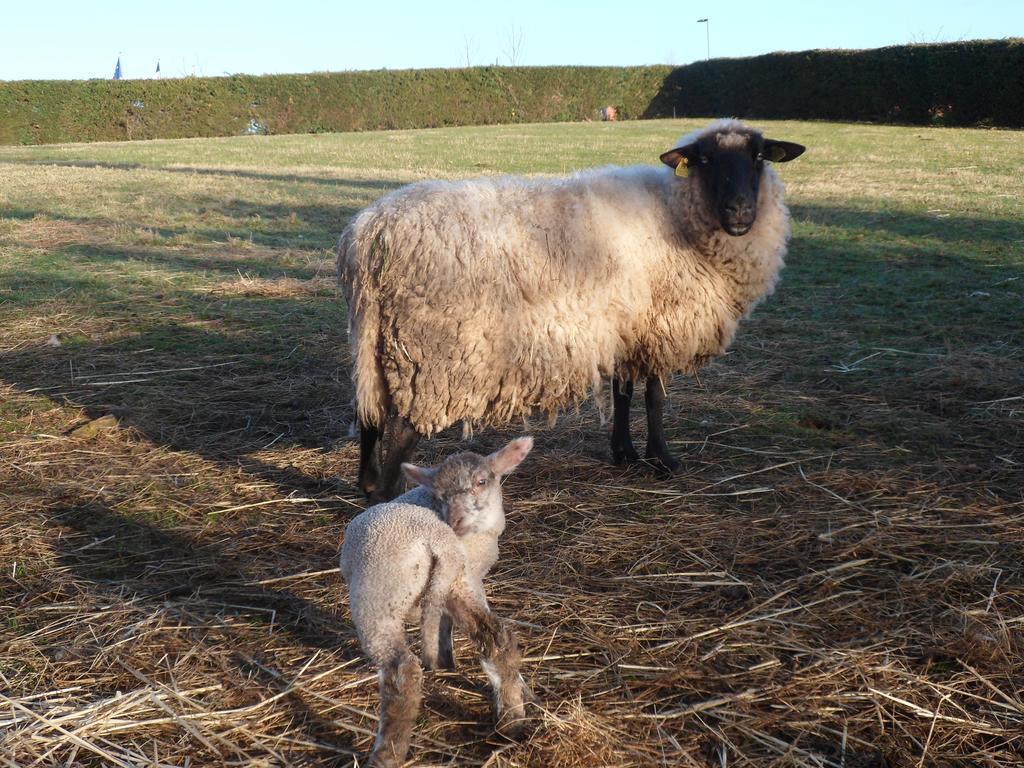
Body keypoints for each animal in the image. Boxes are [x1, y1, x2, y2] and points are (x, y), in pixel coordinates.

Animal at [339, 114, 802, 499]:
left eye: (759, 156)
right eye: (705, 159)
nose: (739, 211)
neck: (677, 214)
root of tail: (368, 234)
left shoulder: (626, 326)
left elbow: (623, 391)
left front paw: (624, 452)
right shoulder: (660, 323)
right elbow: (654, 396)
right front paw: (662, 459)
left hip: (379, 344)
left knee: (370, 417)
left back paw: (367, 484)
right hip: (430, 358)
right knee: (400, 434)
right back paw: (390, 502)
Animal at [342, 438, 536, 768]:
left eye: (481, 482)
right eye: (439, 493)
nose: (456, 520)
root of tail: (435, 540)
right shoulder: (466, 580)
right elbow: (444, 628)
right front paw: (444, 665)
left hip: (377, 594)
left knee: (402, 671)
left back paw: (386, 754)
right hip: (455, 582)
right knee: (497, 640)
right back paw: (511, 722)